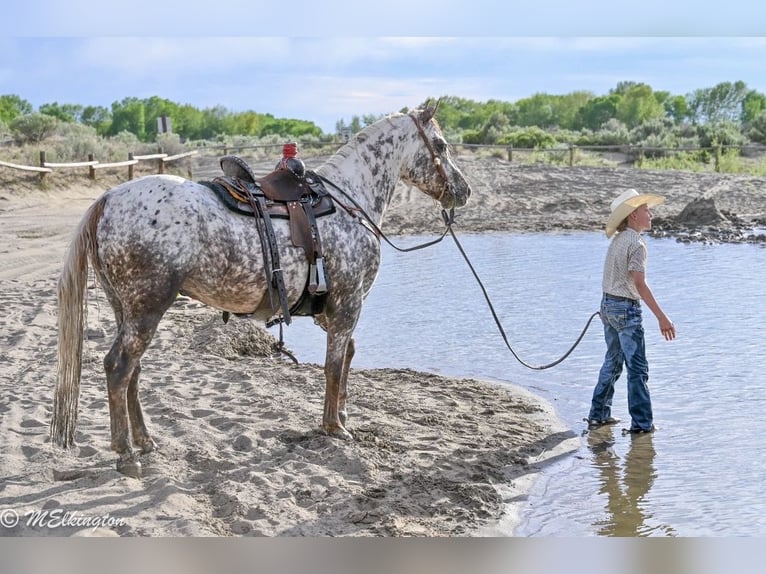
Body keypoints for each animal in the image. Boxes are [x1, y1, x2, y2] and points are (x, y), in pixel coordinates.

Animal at [50, 102, 472, 477]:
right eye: (441, 144)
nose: (463, 190)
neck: (349, 202)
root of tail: (108, 199)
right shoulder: (348, 304)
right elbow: (335, 364)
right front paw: (334, 427)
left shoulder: (336, 310)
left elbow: (347, 356)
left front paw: (341, 414)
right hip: (146, 309)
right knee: (119, 368)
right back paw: (126, 454)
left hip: (126, 309)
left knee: (132, 372)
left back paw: (145, 441)